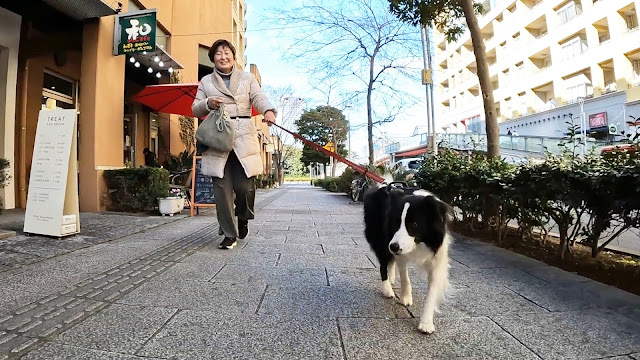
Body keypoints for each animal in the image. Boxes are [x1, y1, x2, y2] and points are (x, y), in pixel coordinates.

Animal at [362, 184, 452, 334]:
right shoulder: (396, 248)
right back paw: (387, 289)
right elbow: (405, 276)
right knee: (383, 264)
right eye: (395, 223)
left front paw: (426, 323)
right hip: (381, 237)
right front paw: (405, 297)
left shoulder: (438, 256)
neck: (421, 243)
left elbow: (432, 290)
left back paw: (391, 277)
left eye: (414, 224)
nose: (394, 247)